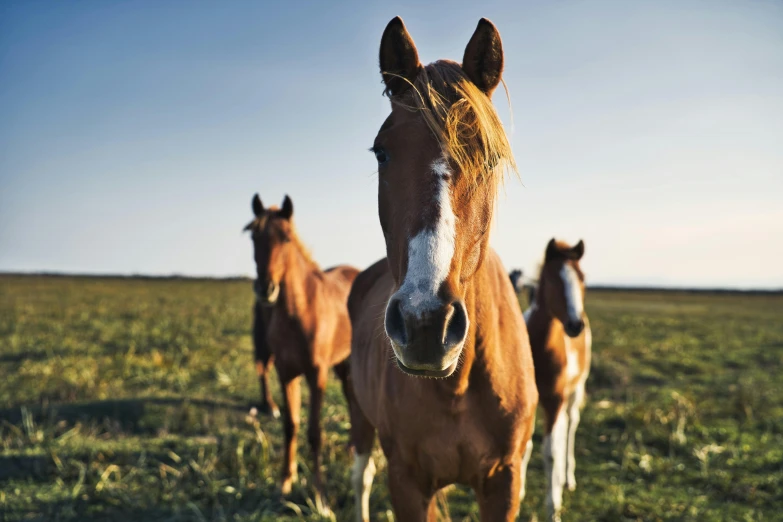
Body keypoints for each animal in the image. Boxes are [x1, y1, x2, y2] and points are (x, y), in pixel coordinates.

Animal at [243, 193, 360, 510]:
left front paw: (320, 495)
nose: (266, 289)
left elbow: (314, 432)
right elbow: (291, 425)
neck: (300, 311)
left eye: (285, 237)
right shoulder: (287, 374)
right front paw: (285, 482)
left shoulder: (316, 375)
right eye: (254, 236)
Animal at [348, 17, 540, 520]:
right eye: (382, 152)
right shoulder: (407, 482)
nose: (425, 322)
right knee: (360, 474)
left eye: (491, 156)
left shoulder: (505, 481)